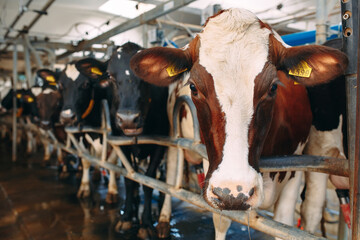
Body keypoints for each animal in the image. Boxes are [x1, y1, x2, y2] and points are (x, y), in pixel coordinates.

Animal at [131, 7, 348, 238]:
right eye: (193, 87)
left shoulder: (297, 170)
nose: (234, 191)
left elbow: (284, 226)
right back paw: (163, 220)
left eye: (273, 87)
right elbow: (221, 222)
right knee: (172, 172)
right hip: (173, 136)